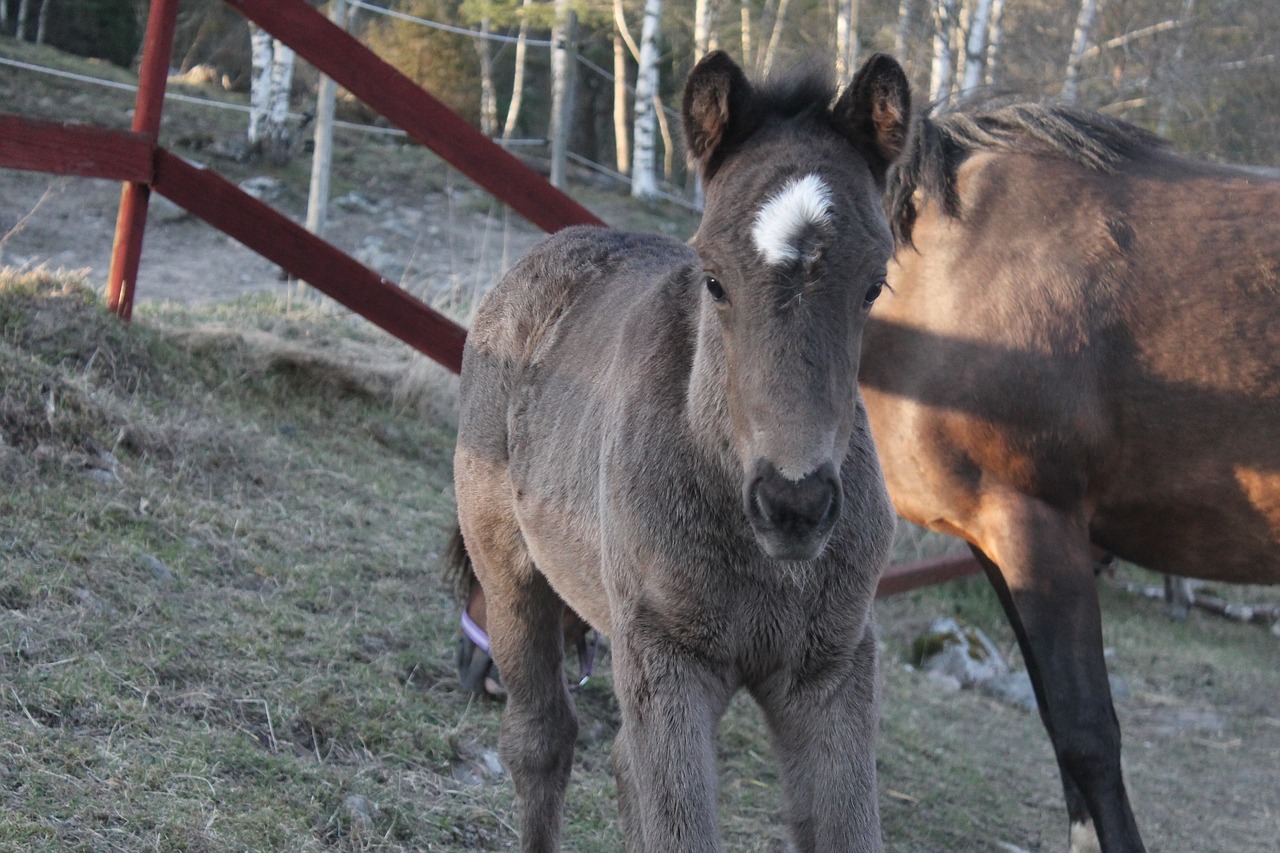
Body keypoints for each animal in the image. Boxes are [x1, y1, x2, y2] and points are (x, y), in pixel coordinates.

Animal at [455, 53, 906, 850]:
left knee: (619, 762)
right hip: (508, 571)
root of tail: (557, 245)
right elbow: (676, 823)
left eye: (874, 286)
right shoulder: (666, 660)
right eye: (715, 280)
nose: (793, 504)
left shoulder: (833, 670)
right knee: (540, 740)